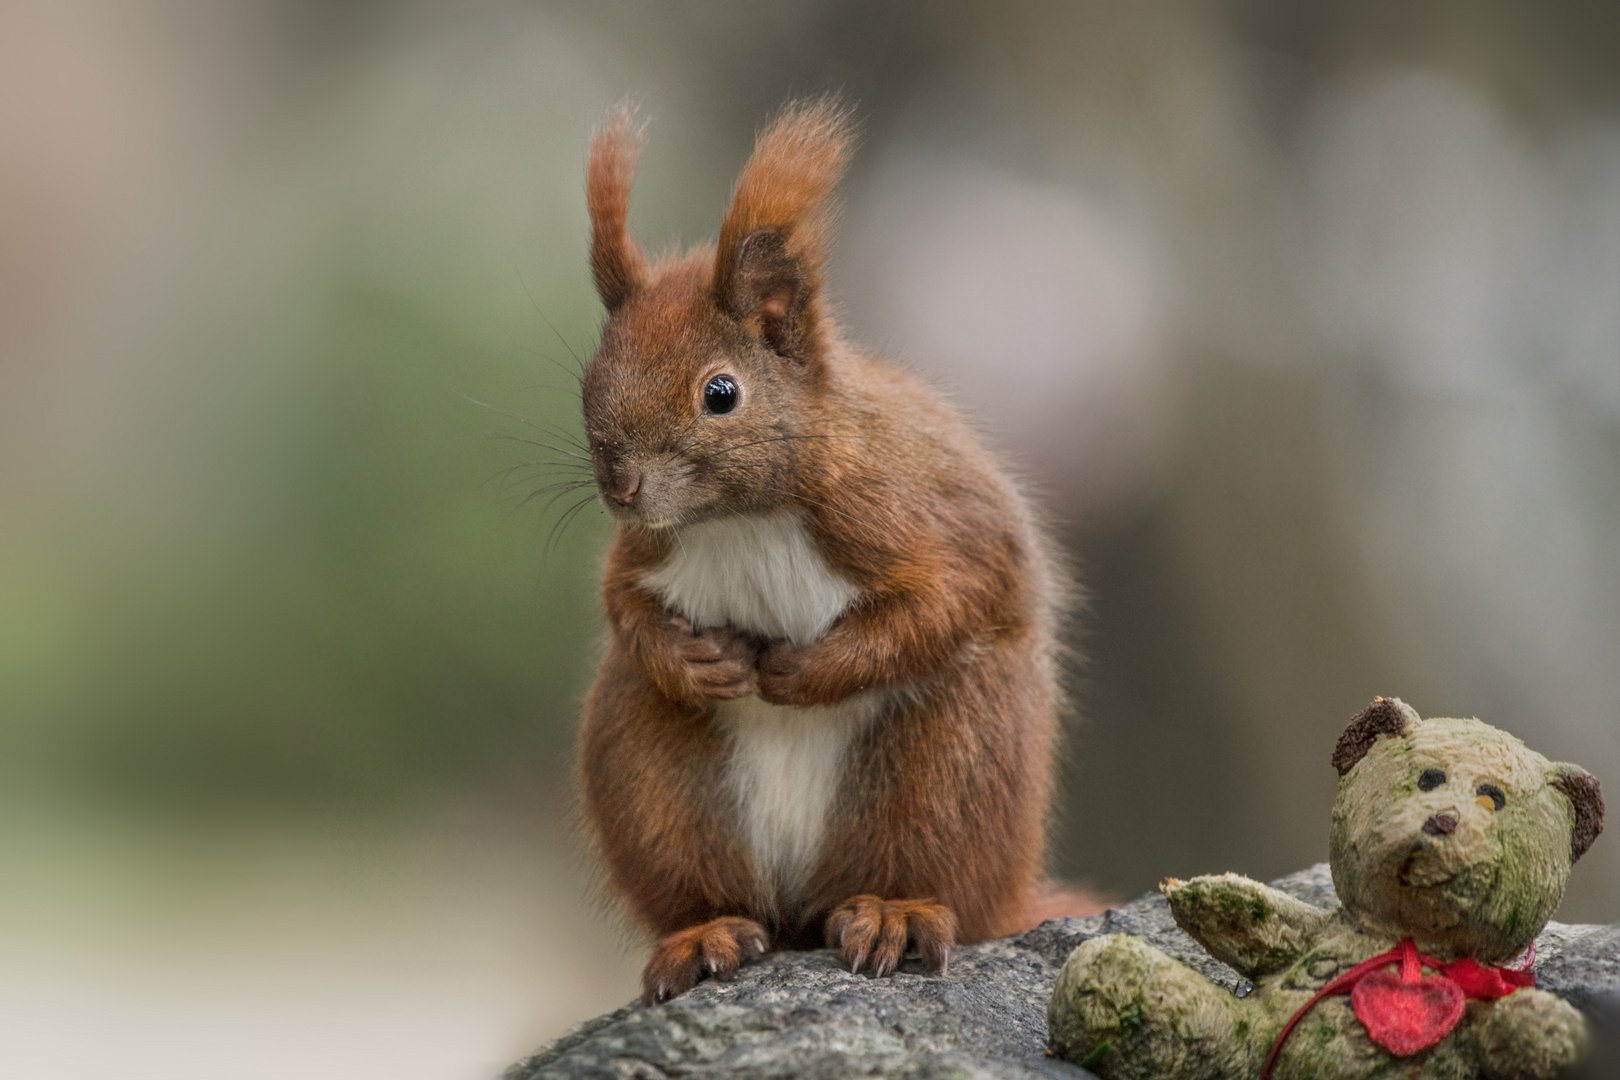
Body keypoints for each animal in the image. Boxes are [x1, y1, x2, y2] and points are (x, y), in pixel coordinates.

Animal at [576, 99, 1095, 1003]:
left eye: (721, 393)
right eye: (588, 379)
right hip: (649, 770)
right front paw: (696, 661)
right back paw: (705, 934)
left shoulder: (899, 512)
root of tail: (798, 909)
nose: (621, 485)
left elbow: (947, 600)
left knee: (925, 867)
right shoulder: (643, 547)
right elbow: (625, 605)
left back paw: (895, 912)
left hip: (954, 759)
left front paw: (805, 672)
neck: (738, 516)